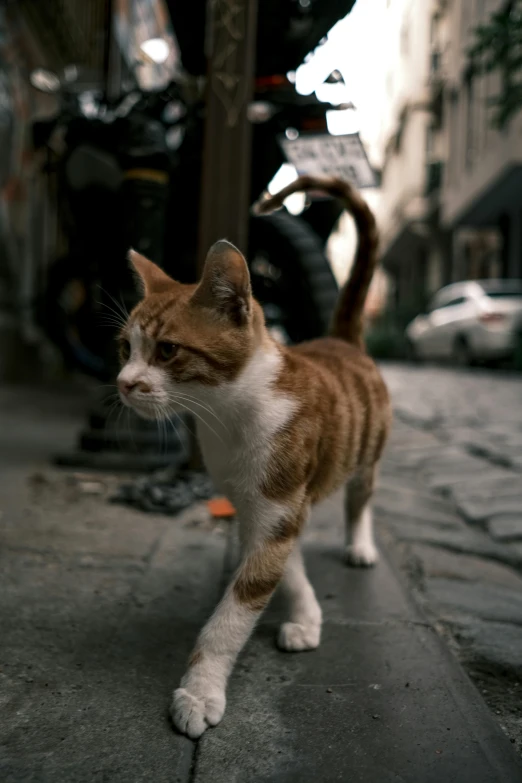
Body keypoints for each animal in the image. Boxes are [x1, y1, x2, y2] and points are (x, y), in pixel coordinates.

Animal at [116, 175, 388, 740]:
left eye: (168, 350)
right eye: (123, 348)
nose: (124, 383)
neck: (228, 416)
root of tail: (342, 340)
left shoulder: (279, 505)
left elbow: (235, 611)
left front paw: (199, 692)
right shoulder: (258, 508)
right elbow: (283, 563)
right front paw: (306, 614)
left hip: (368, 451)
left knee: (361, 494)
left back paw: (359, 543)